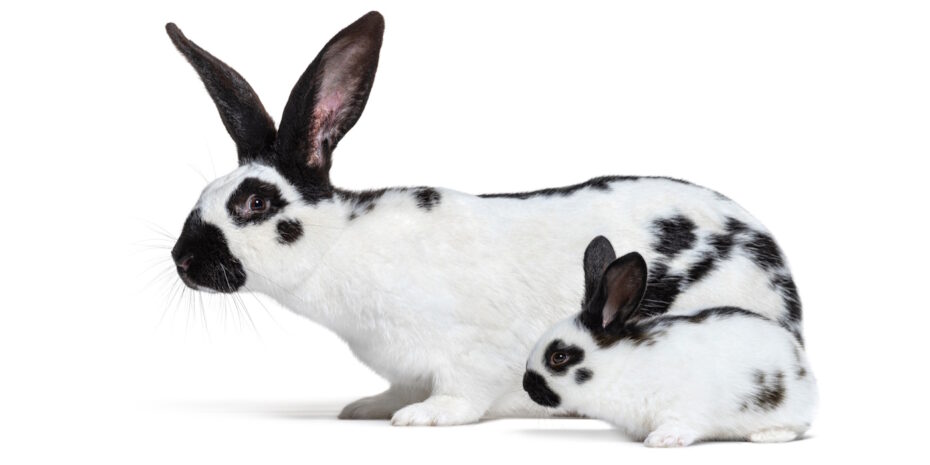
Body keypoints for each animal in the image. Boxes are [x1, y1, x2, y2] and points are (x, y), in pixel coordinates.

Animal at [166, 11, 806, 426]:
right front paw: (370, 409)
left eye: (254, 203)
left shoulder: (469, 352)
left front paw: (422, 418)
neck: (337, 245)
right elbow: (397, 387)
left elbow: (462, 392)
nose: (183, 260)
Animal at [523, 236, 817, 446]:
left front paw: (662, 440)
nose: (527, 385)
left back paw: (767, 435)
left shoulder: (685, 404)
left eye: (559, 357)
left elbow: (682, 422)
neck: (620, 367)